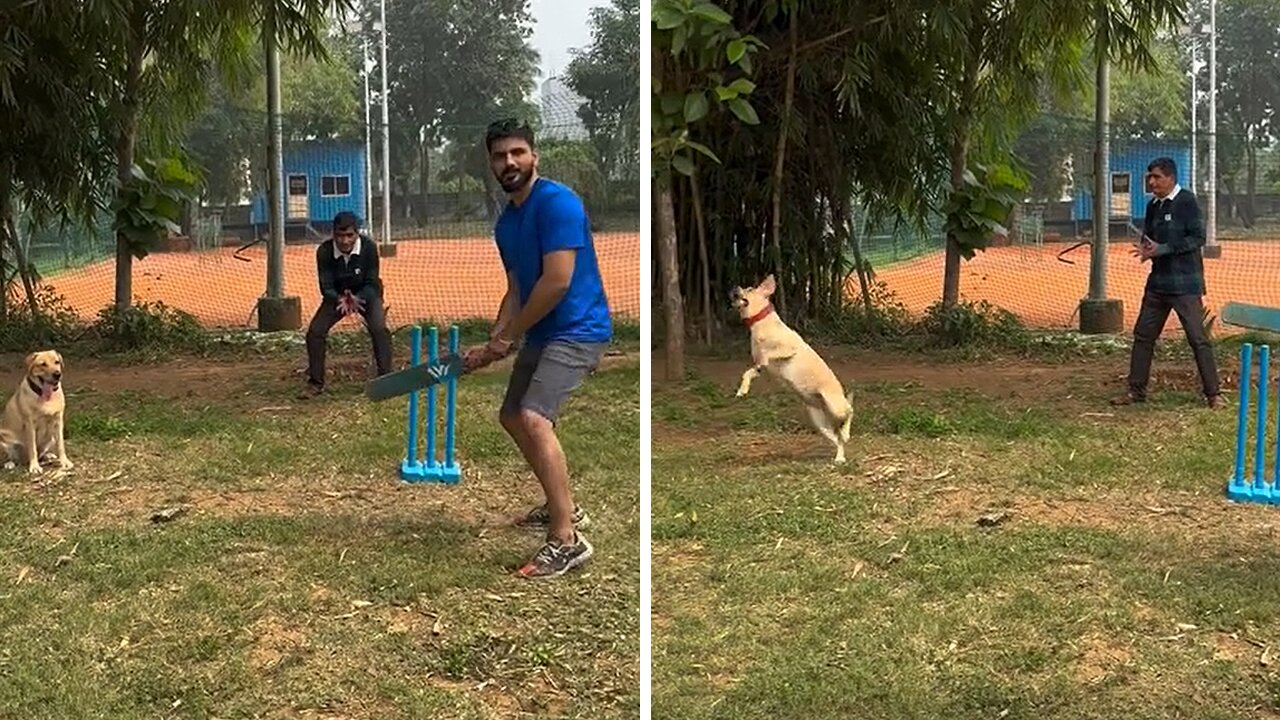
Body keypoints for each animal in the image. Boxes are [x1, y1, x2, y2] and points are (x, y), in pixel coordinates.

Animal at [737, 271, 855, 461]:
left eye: (748, 289)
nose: (734, 289)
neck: (760, 324)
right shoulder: (759, 368)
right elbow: (749, 372)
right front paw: (742, 390)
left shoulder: (788, 349)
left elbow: (767, 355)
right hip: (818, 420)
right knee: (837, 438)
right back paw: (839, 457)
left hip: (835, 405)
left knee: (850, 411)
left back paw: (846, 434)